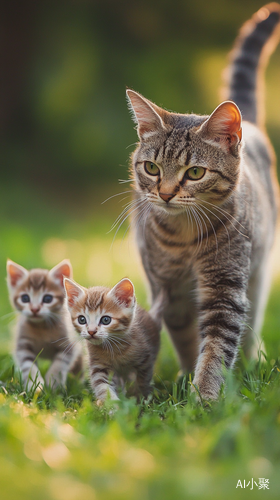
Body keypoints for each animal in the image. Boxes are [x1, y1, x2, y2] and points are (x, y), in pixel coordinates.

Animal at [6, 260, 82, 392]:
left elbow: (59, 364)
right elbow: (28, 365)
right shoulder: (22, 345)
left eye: (47, 298)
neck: (42, 327)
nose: (35, 309)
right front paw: (34, 385)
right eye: (25, 298)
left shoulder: (68, 345)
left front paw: (54, 382)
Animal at [125, 3, 280, 400]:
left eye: (194, 173)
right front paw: (187, 379)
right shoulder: (168, 288)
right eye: (151, 167)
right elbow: (186, 337)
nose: (165, 193)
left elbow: (217, 343)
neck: (183, 237)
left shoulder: (226, 284)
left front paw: (205, 396)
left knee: (251, 324)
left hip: (258, 273)